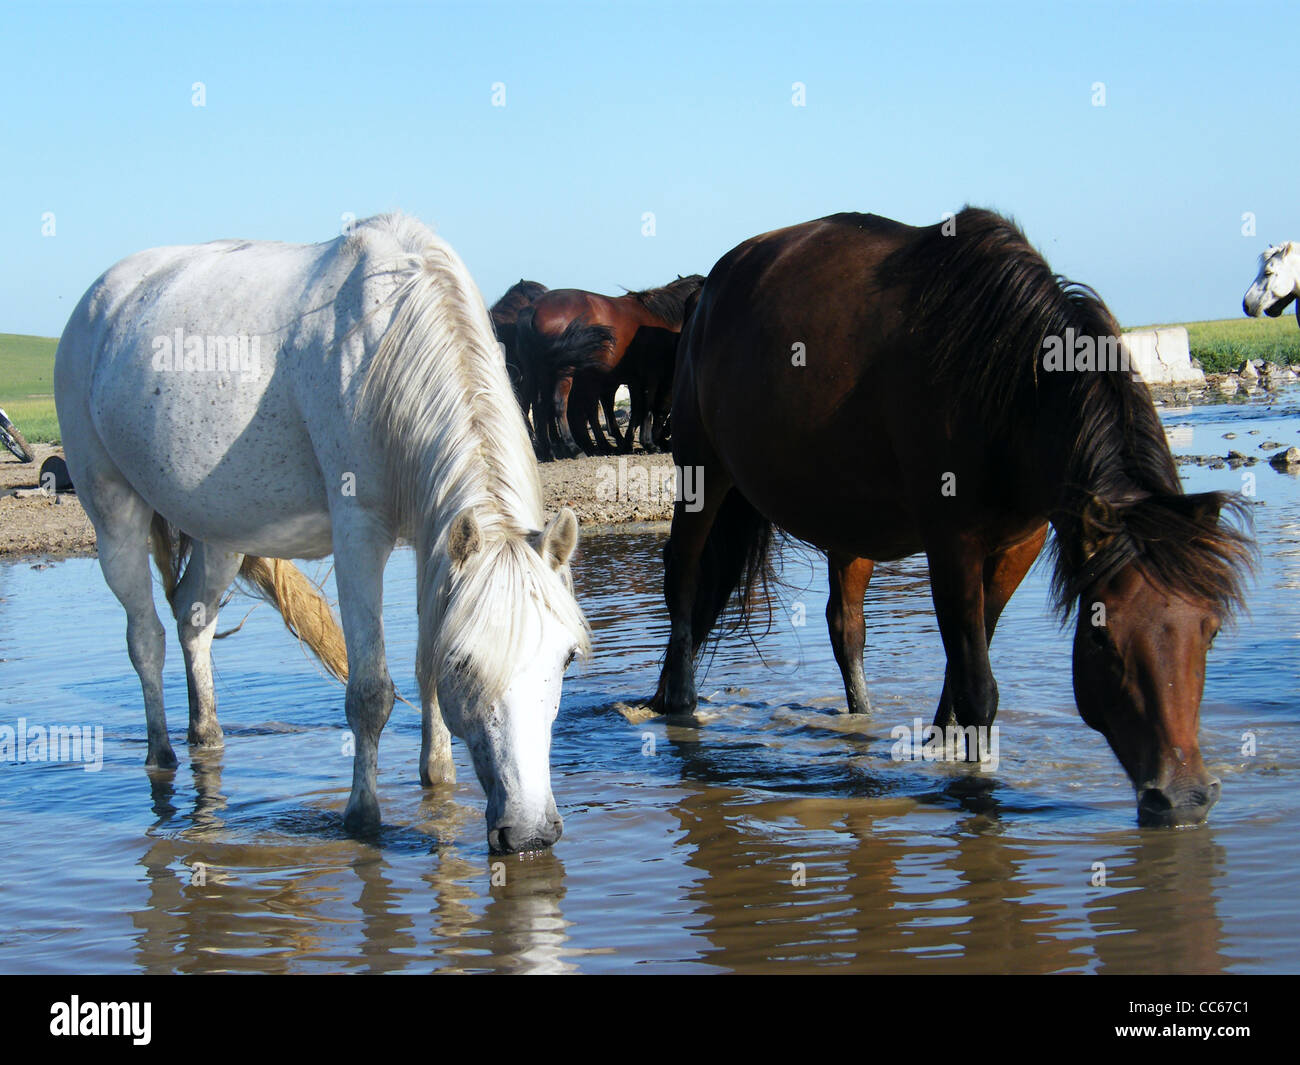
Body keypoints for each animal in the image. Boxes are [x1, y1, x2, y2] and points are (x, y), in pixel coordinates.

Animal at [54, 211, 590, 853]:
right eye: (465, 663)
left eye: (566, 659)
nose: (530, 832)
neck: (389, 342)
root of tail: (99, 299)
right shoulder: (359, 535)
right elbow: (370, 692)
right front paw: (362, 816)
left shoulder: (430, 538)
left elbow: (422, 664)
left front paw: (437, 778)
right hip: (114, 512)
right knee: (146, 638)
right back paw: (161, 757)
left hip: (221, 530)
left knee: (192, 619)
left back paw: (206, 737)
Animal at [514, 274, 702, 457]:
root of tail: (534, 309)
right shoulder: (652, 377)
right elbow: (649, 407)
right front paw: (648, 443)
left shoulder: (634, 381)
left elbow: (637, 410)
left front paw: (629, 442)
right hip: (564, 372)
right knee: (559, 405)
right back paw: (574, 447)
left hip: (538, 373)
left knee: (535, 406)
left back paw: (547, 450)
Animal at [655, 204, 1253, 827]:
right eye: (1101, 640)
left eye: (1209, 632)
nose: (1184, 797)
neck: (1010, 381)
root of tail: (703, 296)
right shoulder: (952, 543)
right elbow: (977, 683)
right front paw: (974, 779)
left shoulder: (1019, 545)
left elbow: (968, 656)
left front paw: (940, 741)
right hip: (702, 473)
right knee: (684, 579)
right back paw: (680, 701)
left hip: (850, 519)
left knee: (846, 625)